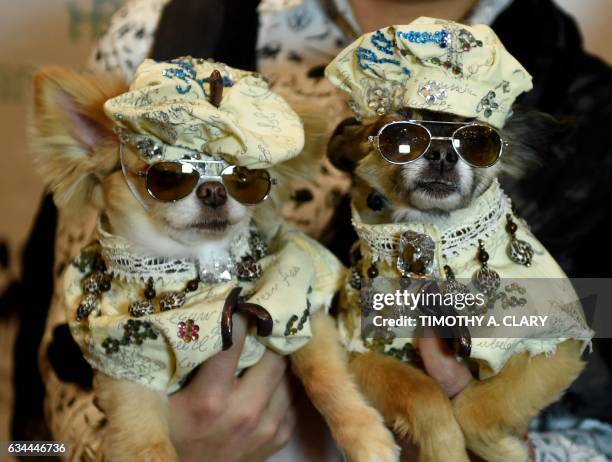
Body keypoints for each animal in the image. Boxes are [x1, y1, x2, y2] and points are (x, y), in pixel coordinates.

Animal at [31, 63, 400, 462]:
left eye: (244, 176)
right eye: (167, 175)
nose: (214, 190)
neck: (205, 272)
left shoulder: (296, 309)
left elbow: (325, 378)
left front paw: (365, 437)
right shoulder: (128, 366)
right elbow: (146, 443)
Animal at [330, 105, 588, 462]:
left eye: (478, 140)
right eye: (399, 135)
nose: (442, 153)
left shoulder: (554, 344)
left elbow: (473, 405)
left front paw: (508, 452)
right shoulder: (362, 353)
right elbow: (422, 393)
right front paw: (446, 450)